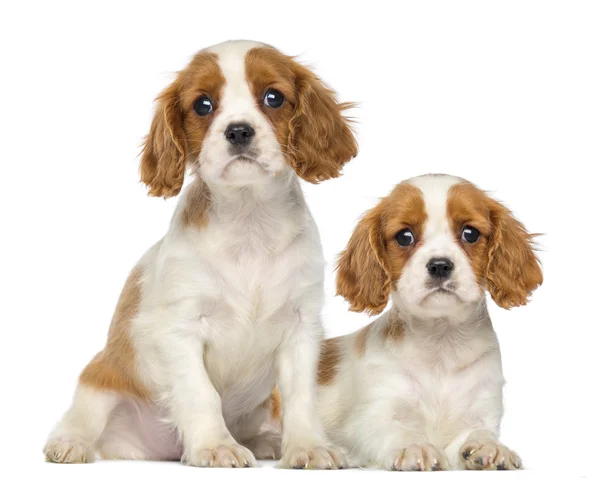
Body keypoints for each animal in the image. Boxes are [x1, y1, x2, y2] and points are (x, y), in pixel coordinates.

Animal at [45, 41, 356, 468]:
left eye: (273, 98)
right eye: (203, 105)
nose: (238, 130)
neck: (248, 222)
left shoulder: (300, 327)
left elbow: (300, 398)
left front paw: (308, 446)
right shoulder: (180, 328)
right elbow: (200, 393)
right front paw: (215, 445)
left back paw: (265, 441)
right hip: (101, 380)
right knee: (82, 417)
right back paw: (69, 443)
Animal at [316, 173, 540, 470]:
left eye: (470, 233)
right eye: (404, 237)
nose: (440, 265)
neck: (441, 341)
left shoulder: (480, 411)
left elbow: (479, 432)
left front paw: (490, 447)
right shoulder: (368, 416)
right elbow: (392, 429)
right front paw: (414, 447)